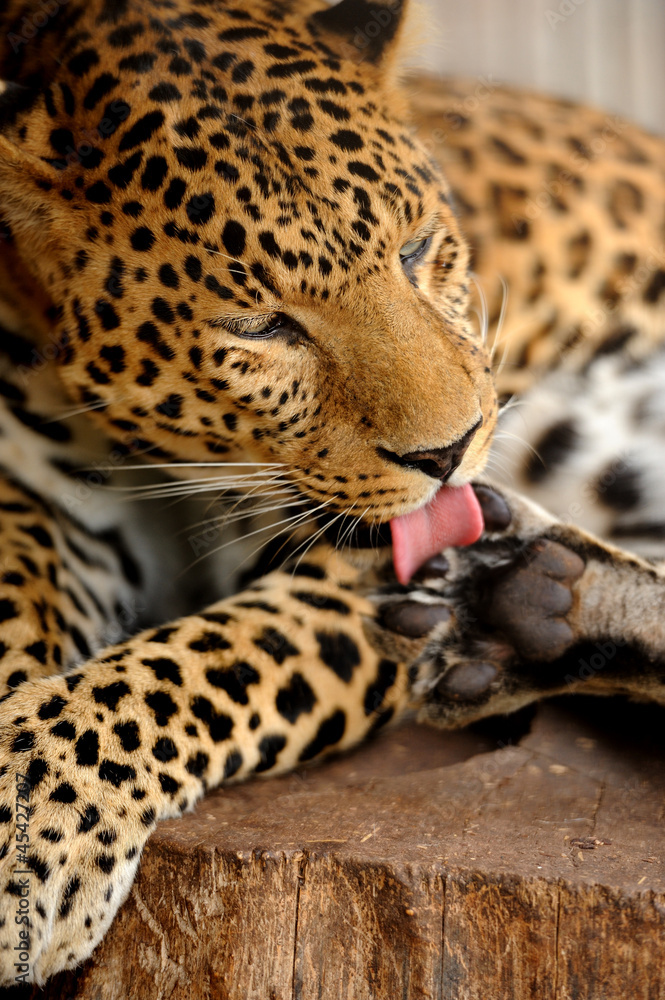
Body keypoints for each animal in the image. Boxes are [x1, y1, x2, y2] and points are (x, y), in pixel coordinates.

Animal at [0, 0, 663, 986]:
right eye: (259, 325)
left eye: (416, 248)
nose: (452, 449)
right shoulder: (36, 490)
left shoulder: (366, 559)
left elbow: (195, 663)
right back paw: (533, 605)